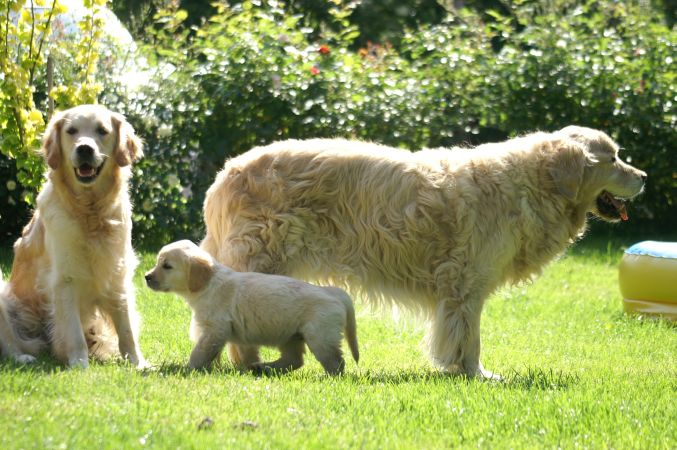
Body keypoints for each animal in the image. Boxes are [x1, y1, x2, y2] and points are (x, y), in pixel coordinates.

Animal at [0, 105, 147, 370]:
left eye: (102, 131)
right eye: (71, 131)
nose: (85, 148)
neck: (90, 213)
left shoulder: (117, 274)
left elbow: (127, 329)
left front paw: (138, 363)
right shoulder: (64, 281)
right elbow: (74, 332)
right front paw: (79, 365)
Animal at [143, 241, 360, 374]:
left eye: (167, 266)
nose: (146, 277)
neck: (209, 283)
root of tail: (335, 293)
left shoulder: (215, 330)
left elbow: (200, 353)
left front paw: (188, 369)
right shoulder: (238, 334)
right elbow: (246, 353)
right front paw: (245, 369)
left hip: (320, 337)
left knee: (335, 362)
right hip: (290, 336)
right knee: (294, 360)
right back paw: (263, 368)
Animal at [199, 126, 644, 380]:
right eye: (613, 158)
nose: (643, 176)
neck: (531, 184)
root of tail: (225, 173)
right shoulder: (466, 286)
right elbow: (470, 340)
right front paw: (475, 375)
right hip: (261, 260)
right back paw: (248, 363)